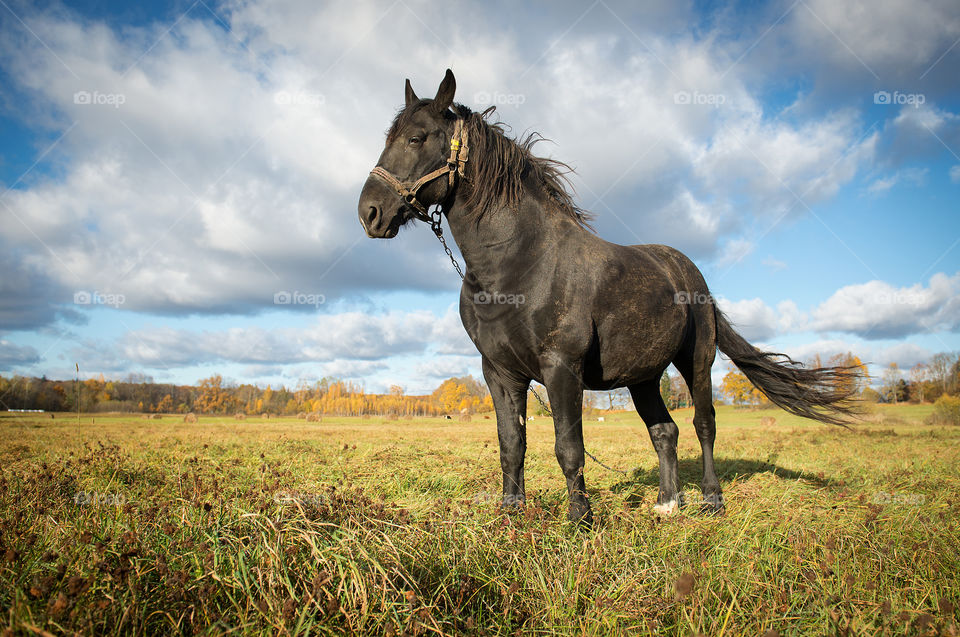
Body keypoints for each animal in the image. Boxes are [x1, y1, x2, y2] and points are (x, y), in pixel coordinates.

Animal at [356, 71, 852, 528]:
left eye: (417, 137)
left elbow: (568, 447)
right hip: (643, 376)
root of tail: (689, 272)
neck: (519, 263)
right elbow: (511, 444)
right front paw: (512, 512)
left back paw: (711, 500)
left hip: (698, 360)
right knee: (665, 431)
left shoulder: (561, 367)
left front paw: (580, 518)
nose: (369, 213)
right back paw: (667, 503)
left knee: (704, 424)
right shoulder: (499, 372)